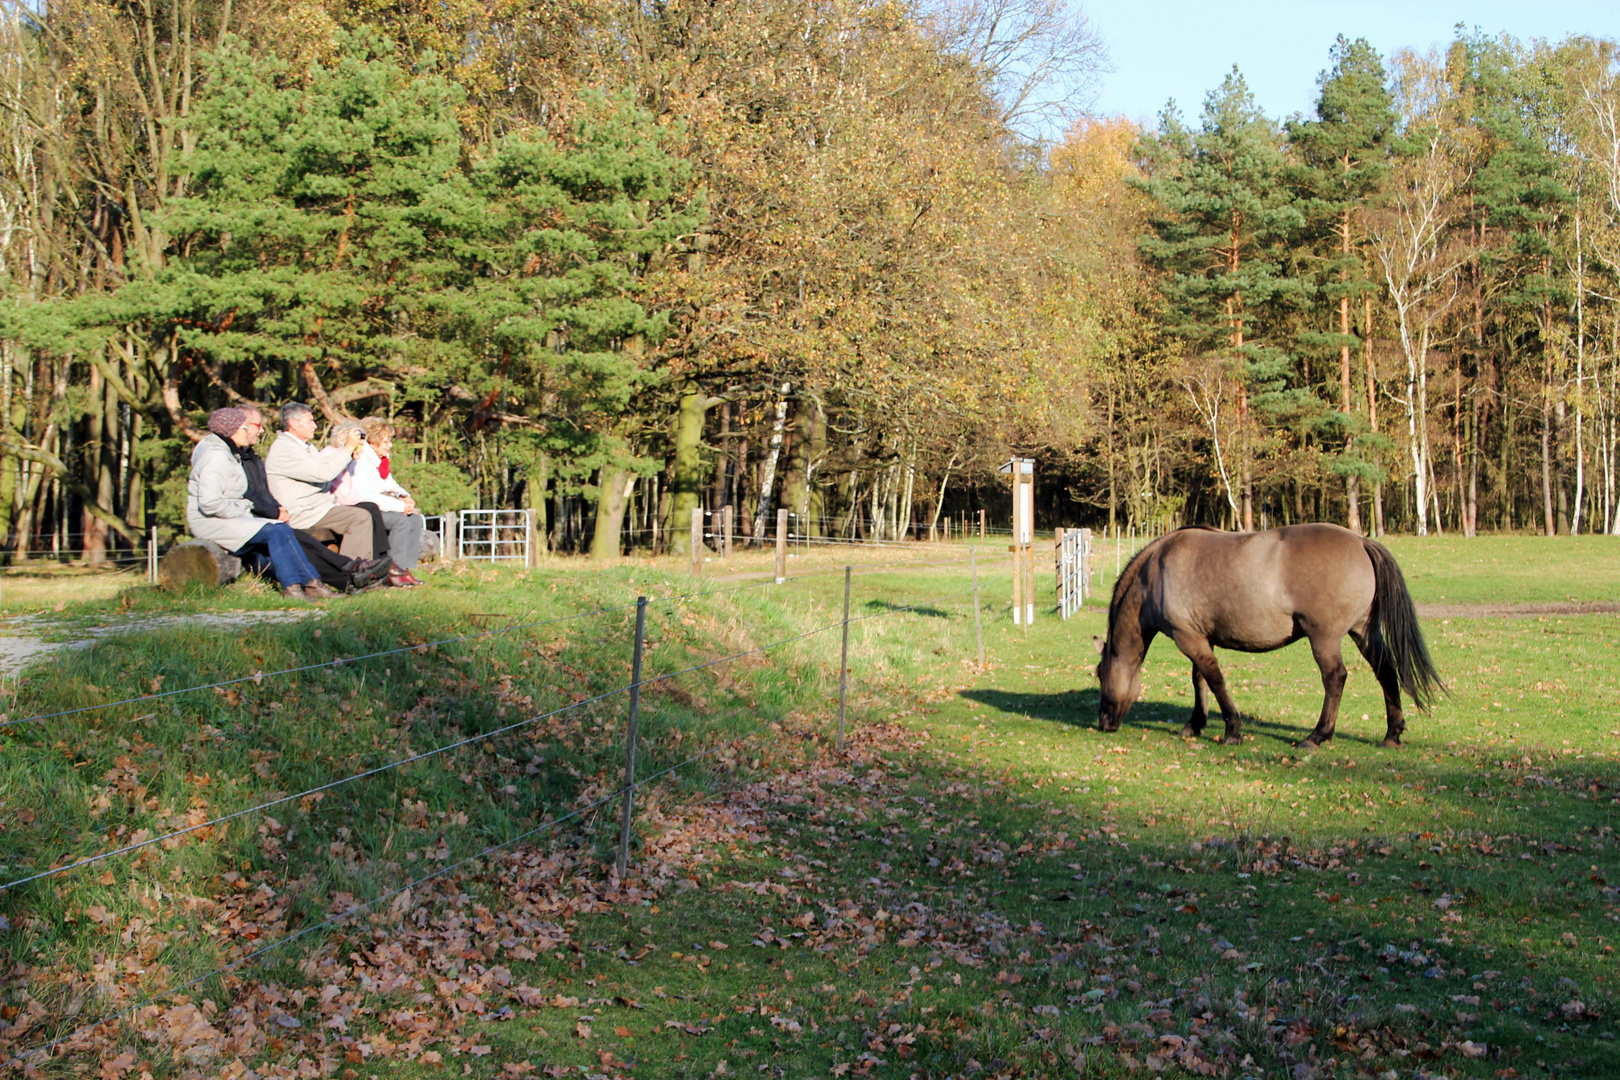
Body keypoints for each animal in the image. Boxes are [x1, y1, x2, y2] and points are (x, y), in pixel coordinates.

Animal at [1095, 524, 1451, 748]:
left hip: (1324, 638)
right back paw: (1392, 733)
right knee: (1386, 671)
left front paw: (1232, 730)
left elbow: (1215, 680)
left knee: (1335, 678)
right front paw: (1195, 724)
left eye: (1099, 674)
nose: (1102, 722)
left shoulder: (1188, 638)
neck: (1155, 572)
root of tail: (1361, 542)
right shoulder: (1200, 637)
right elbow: (1201, 680)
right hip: (1363, 630)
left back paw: (1317, 736)